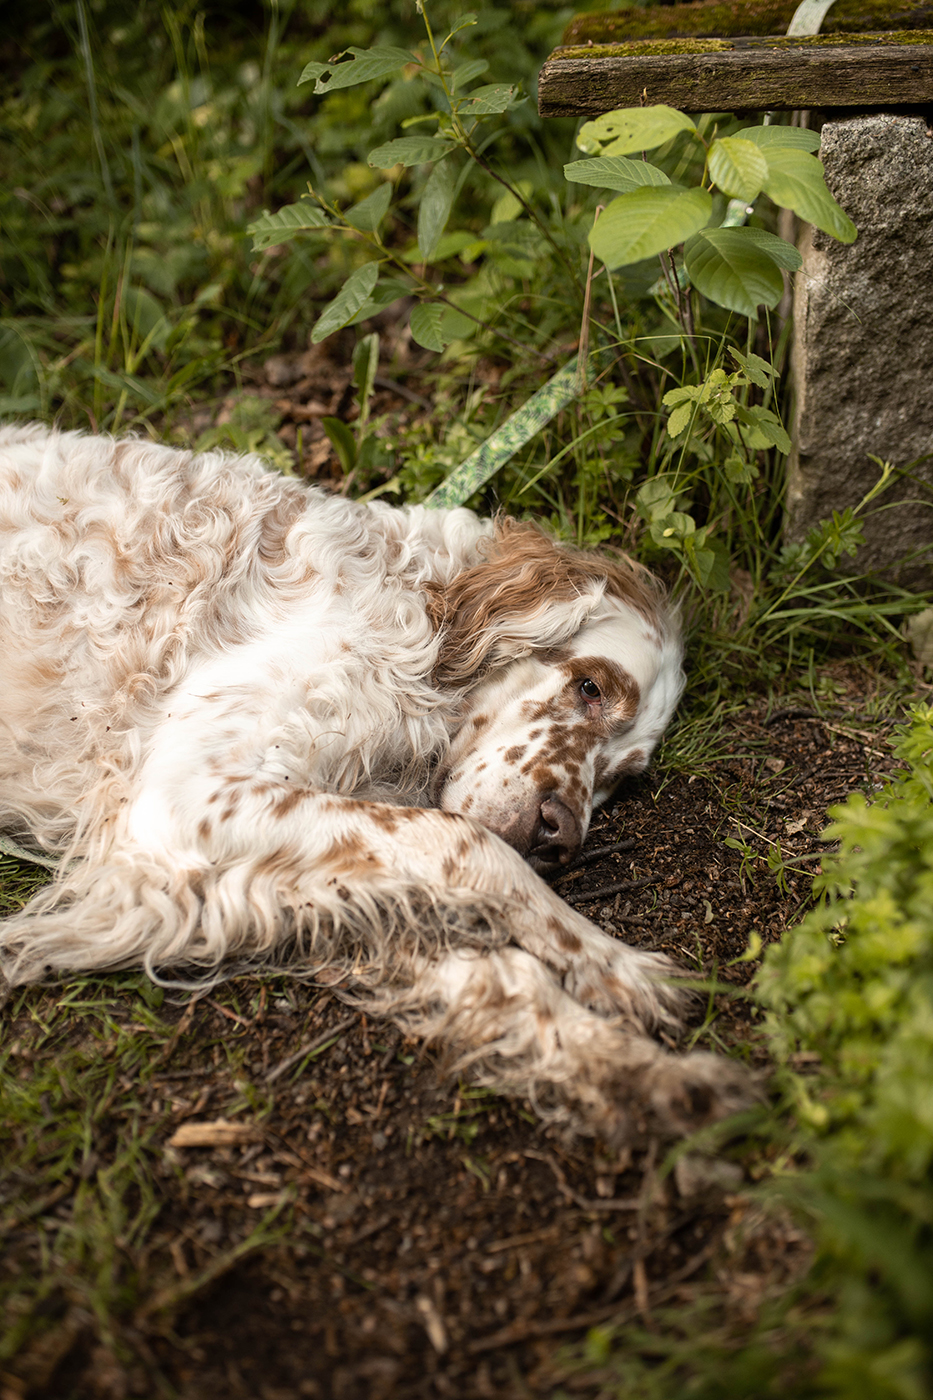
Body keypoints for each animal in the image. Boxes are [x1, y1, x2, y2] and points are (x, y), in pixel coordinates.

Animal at [0, 424, 748, 1140]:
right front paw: (609, 957)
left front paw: (644, 1074)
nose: (558, 835)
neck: (407, 615)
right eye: (589, 687)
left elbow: (499, 975)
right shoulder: (187, 795)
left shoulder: (304, 868)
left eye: (618, 780)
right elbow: (469, 845)